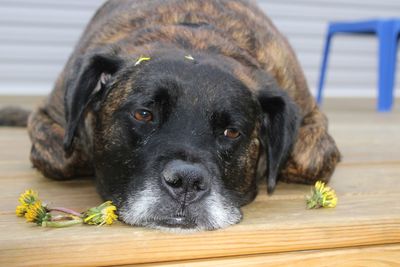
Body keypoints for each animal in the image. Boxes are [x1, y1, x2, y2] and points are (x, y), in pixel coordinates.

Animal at [14, 0, 340, 230]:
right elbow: (62, 156)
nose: (186, 182)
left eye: (231, 132)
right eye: (144, 114)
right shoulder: (49, 117)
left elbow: (309, 157)